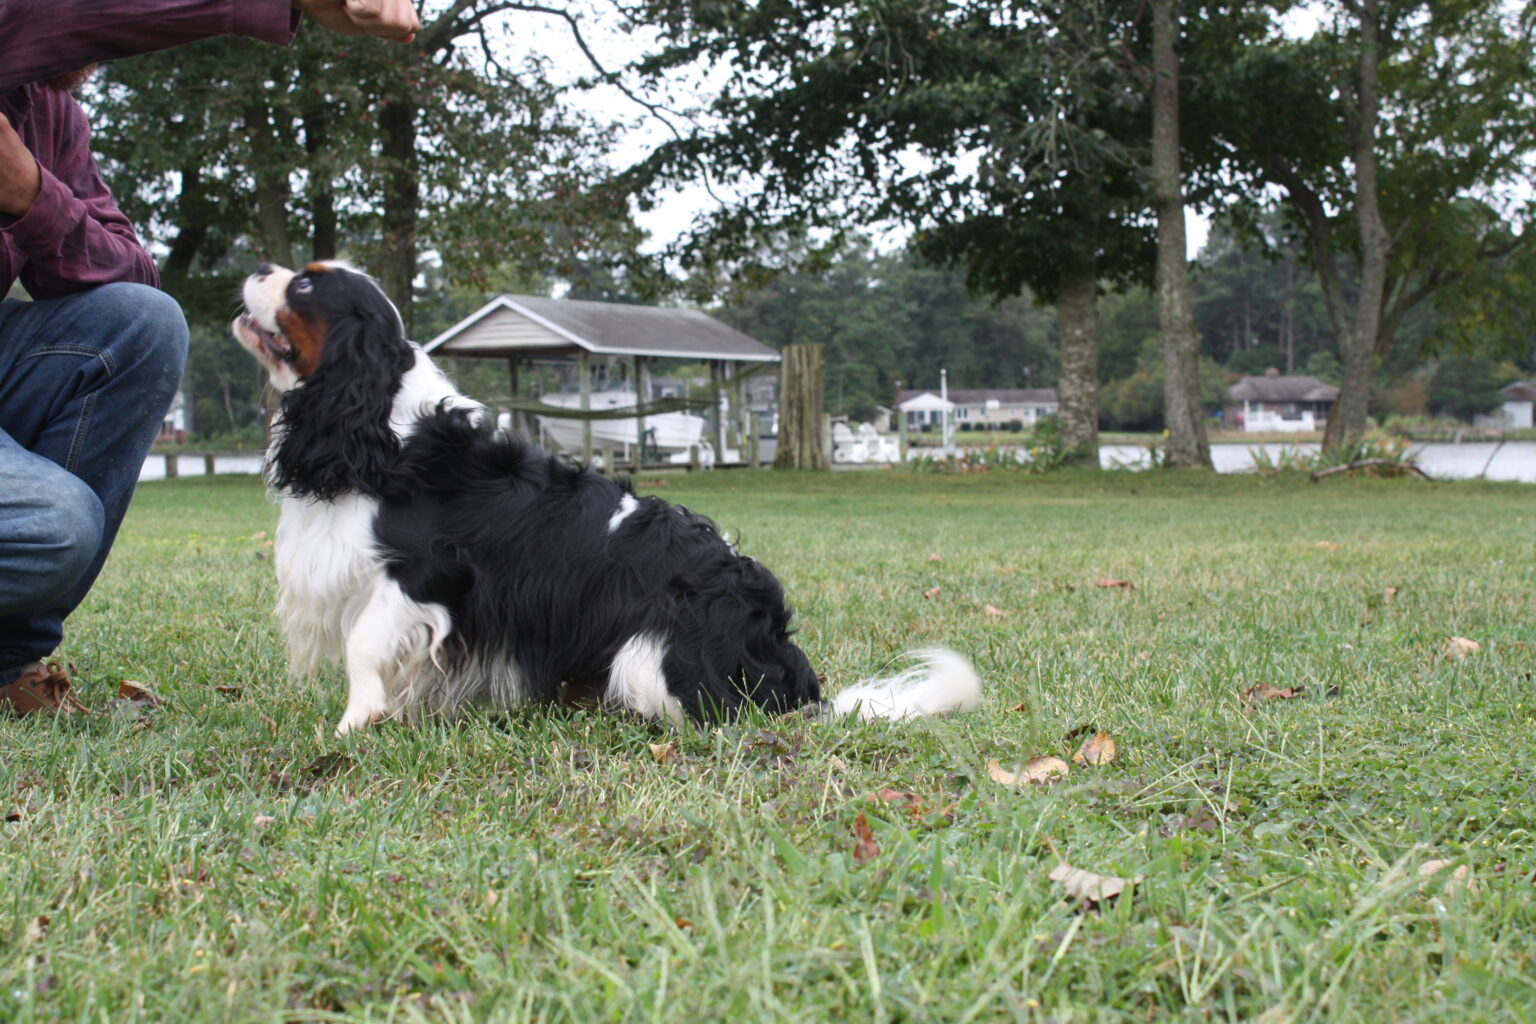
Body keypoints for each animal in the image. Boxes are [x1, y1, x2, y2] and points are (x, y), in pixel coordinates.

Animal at [232, 261, 981, 735]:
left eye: (304, 283)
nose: (261, 264)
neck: (381, 423)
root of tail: (794, 676)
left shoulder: (424, 575)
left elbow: (362, 644)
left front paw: (356, 722)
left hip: (648, 653)